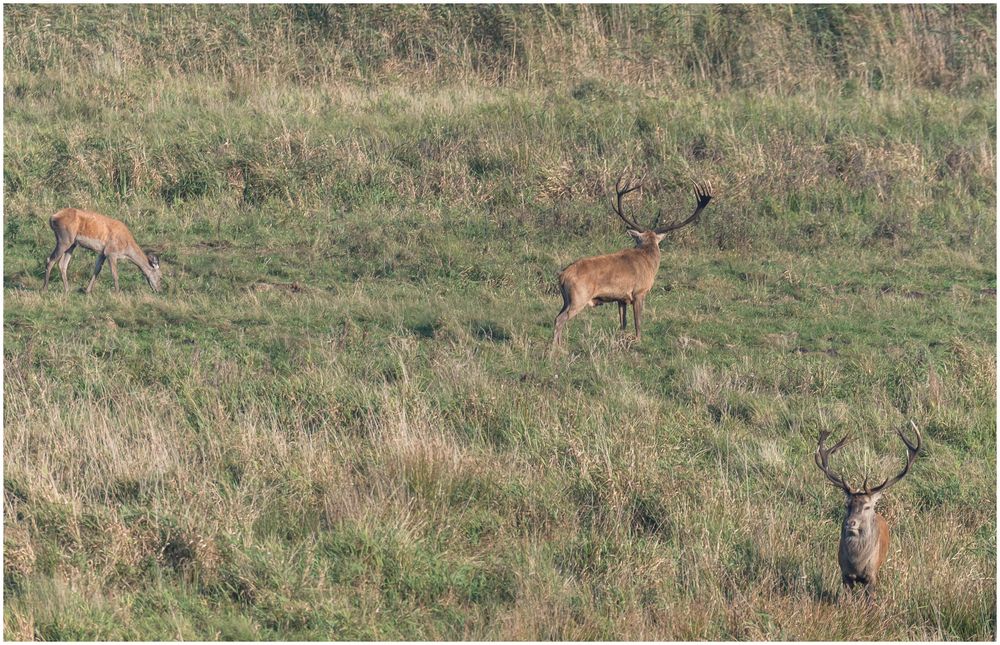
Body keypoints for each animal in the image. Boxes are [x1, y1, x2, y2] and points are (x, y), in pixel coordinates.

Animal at [556, 177, 712, 342]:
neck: (649, 262)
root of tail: (562, 276)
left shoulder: (621, 298)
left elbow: (623, 323)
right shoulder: (639, 292)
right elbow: (638, 321)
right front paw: (638, 340)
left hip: (566, 300)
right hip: (579, 297)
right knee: (560, 319)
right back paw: (557, 347)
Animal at [812, 422, 920, 600]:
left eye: (867, 506)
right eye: (847, 504)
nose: (851, 522)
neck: (857, 563)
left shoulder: (871, 575)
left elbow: (870, 601)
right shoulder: (844, 574)